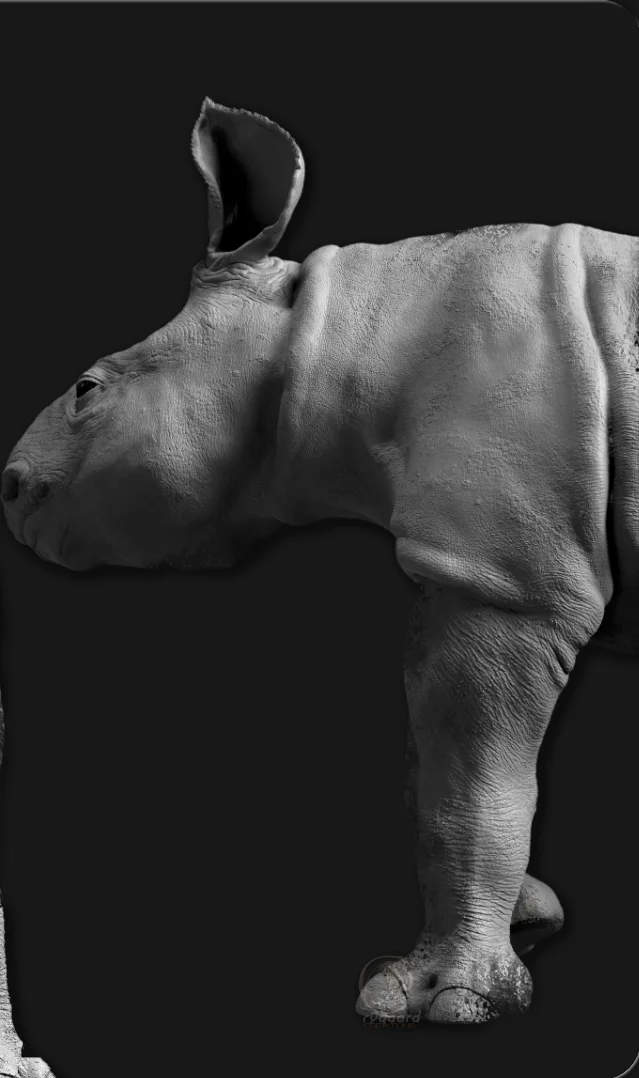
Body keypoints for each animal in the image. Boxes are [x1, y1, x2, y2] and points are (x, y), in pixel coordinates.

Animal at [1, 99, 638, 1047]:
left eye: (87, 389)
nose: (9, 486)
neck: (332, 334)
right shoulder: (473, 565)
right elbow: (434, 762)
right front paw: (527, 921)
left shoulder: (505, 580)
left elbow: (470, 781)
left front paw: (442, 1000)